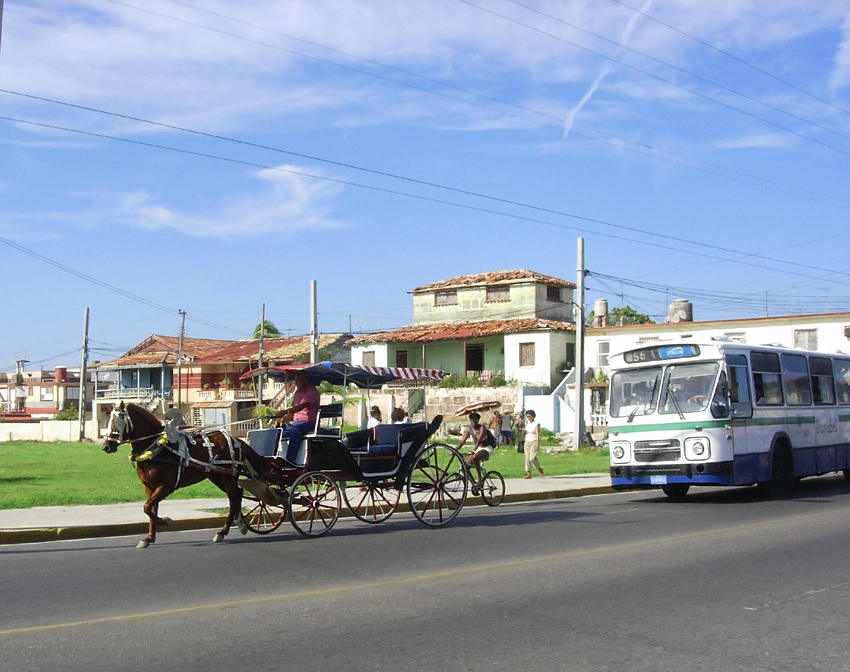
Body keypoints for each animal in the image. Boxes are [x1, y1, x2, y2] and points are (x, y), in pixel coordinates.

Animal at [102, 402, 270, 548]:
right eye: (108, 421)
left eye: (118, 421)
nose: (106, 446)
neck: (159, 448)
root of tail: (237, 440)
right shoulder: (150, 487)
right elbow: (150, 510)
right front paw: (149, 538)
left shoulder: (166, 486)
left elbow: (147, 507)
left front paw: (166, 521)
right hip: (217, 476)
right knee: (237, 495)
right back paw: (239, 523)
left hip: (229, 476)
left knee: (234, 498)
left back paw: (223, 532)